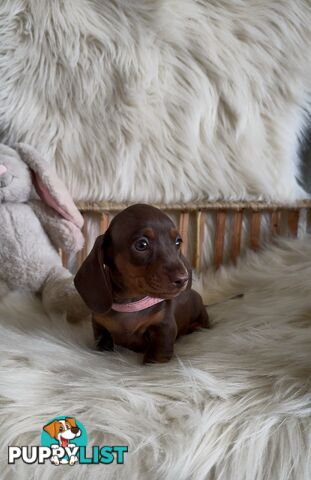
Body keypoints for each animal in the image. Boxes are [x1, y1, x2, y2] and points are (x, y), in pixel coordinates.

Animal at [74, 203, 211, 364]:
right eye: (141, 244)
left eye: (178, 242)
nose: (183, 279)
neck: (131, 304)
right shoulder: (99, 326)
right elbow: (103, 344)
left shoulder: (164, 327)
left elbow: (156, 357)